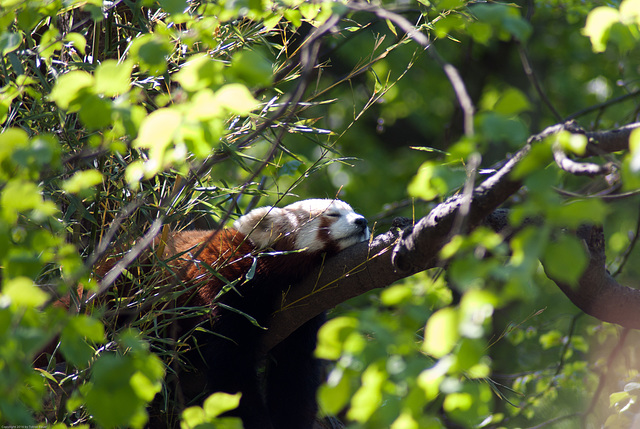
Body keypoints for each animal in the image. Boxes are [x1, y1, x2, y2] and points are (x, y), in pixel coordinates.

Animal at [96, 199, 370, 426]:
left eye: (352, 211)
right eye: (333, 214)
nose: (362, 221)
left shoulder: (303, 309)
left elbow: (294, 374)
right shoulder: (222, 286)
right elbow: (230, 367)